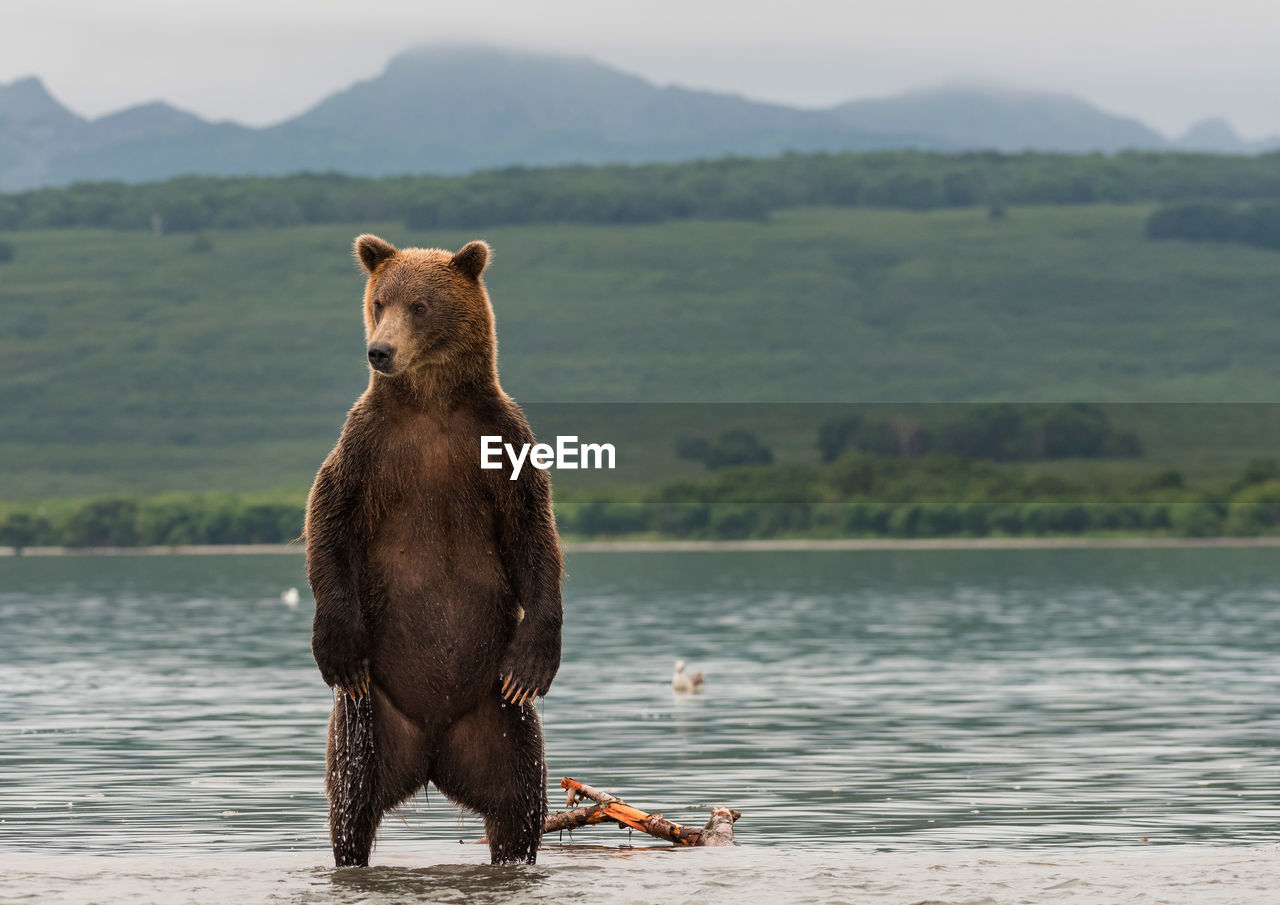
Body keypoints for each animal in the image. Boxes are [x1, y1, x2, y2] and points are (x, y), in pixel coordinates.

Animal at [304, 235, 560, 870]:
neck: (434, 405)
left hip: (498, 718)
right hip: (372, 718)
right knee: (351, 799)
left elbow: (534, 537)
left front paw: (535, 662)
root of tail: (434, 746)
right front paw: (335, 645)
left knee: (519, 802)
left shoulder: (502, 443)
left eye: (419, 306)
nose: (380, 351)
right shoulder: (369, 446)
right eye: (379, 302)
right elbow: (328, 518)